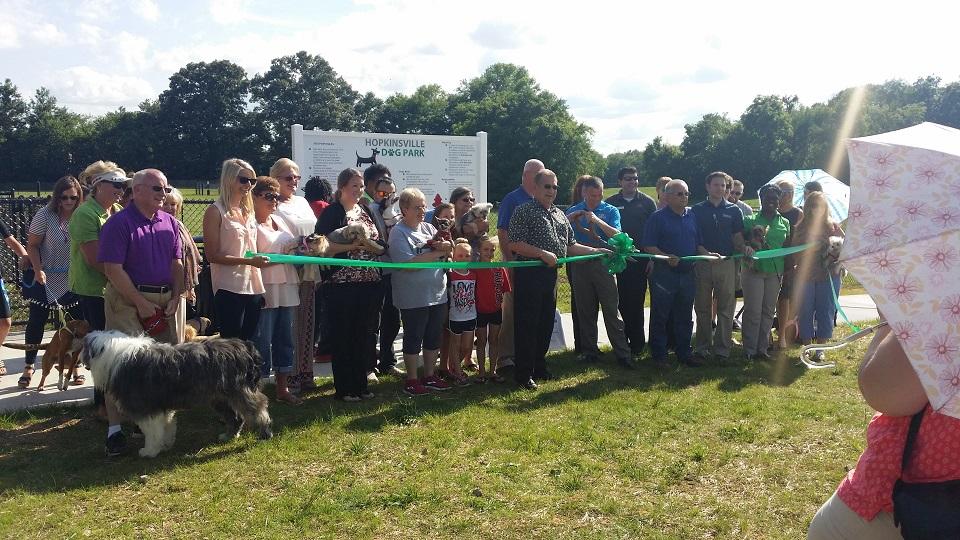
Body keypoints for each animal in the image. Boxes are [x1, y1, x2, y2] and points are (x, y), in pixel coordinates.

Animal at [81, 330, 274, 456]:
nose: (83, 363)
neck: (114, 357)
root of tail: (245, 346)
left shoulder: (145, 407)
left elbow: (152, 431)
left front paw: (149, 450)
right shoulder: (161, 406)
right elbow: (166, 425)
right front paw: (166, 443)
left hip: (240, 392)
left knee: (258, 409)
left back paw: (265, 432)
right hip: (219, 398)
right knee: (236, 417)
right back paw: (229, 435)